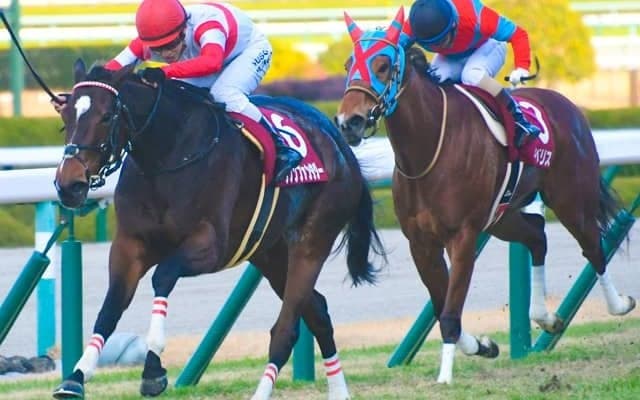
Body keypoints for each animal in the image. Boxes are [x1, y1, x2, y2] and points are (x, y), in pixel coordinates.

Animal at [52, 59, 386, 400]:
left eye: (106, 116)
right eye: (65, 116)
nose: (69, 184)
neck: (168, 155)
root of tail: (341, 147)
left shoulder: (211, 246)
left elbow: (163, 276)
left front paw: (153, 368)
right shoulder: (129, 244)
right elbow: (111, 306)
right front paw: (75, 378)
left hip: (312, 241)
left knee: (286, 330)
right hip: (271, 253)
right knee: (318, 312)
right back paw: (339, 392)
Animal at [335, 7, 635, 384]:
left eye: (384, 65)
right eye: (349, 63)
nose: (349, 122)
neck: (428, 148)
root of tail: (566, 104)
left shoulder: (463, 236)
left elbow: (450, 310)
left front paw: (445, 376)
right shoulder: (421, 242)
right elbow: (442, 303)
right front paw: (482, 345)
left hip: (570, 199)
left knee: (593, 247)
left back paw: (619, 304)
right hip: (501, 218)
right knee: (538, 237)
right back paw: (545, 316)